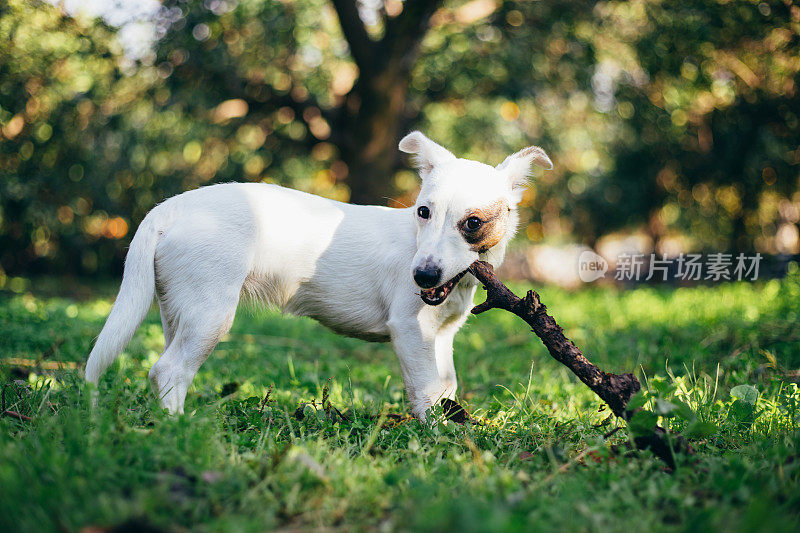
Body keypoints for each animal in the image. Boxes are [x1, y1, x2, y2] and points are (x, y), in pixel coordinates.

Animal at [86, 131, 552, 418]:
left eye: (472, 223)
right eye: (424, 212)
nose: (421, 277)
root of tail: (168, 208)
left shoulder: (441, 337)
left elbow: (446, 386)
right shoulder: (410, 330)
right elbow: (424, 390)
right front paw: (433, 437)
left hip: (178, 311)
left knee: (166, 367)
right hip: (210, 315)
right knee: (168, 370)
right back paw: (180, 428)